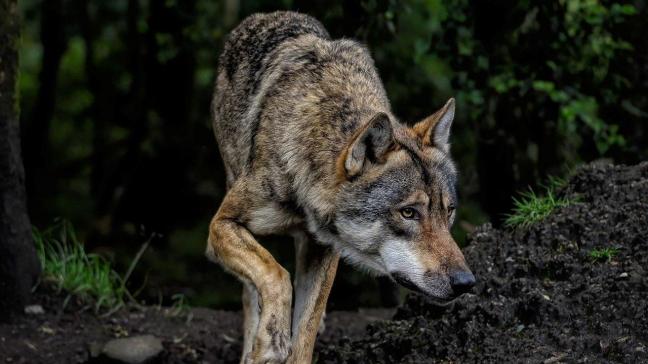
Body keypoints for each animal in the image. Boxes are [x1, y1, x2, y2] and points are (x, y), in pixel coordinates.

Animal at [208, 10, 476, 364]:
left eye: (449, 212)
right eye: (408, 213)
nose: (466, 282)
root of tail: (265, 15)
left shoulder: (324, 249)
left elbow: (304, 332)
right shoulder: (221, 225)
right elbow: (275, 275)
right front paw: (271, 339)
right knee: (251, 293)